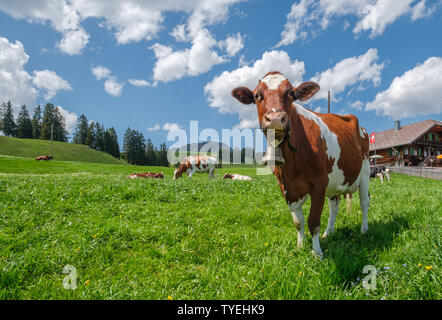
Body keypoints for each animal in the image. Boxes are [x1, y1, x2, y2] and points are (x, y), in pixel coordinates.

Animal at [231, 70, 370, 258]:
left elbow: (313, 221)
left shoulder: (319, 185)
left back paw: (364, 229)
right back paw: (329, 231)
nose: (275, 118)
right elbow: (298, 222)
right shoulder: (287, 188)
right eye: (257, 95)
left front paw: (317, 252)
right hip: (335, 181)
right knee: (334, 205)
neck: (291, 165)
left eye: (291, 93)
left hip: (365, 172)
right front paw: (300, 245)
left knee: (364, 202)